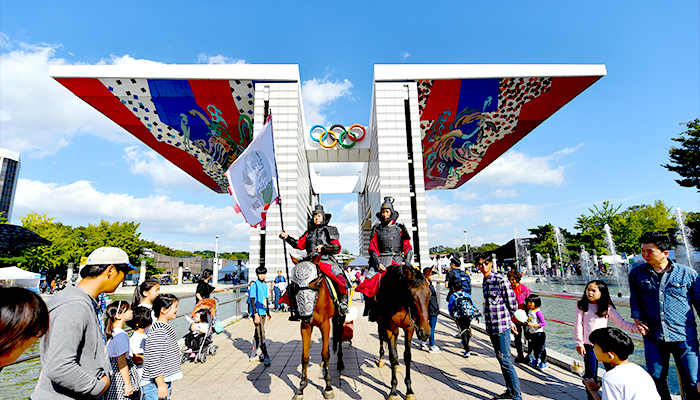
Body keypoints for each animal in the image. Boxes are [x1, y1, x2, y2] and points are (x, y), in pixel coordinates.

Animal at [288, 255, 346, 400]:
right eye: (294, 284)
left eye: (315, 281)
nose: (306, 315)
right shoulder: (305, 326)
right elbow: (304, 356)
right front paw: (301, 388)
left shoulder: (325, 324)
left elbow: (326, 354)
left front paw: (328, 387)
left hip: (340, 316)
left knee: (340, 336)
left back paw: (340, 362)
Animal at [378, 266, 432, 400]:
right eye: (411, 295)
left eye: (429, 293)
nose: (425, 332)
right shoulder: (389, 327)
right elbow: (392, 356)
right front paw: (393, 391)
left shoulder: (409, 327)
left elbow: (407, 356)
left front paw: (409, 391)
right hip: (381, 323)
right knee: (381, 338)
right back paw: (381, 360)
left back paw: (397, 366)